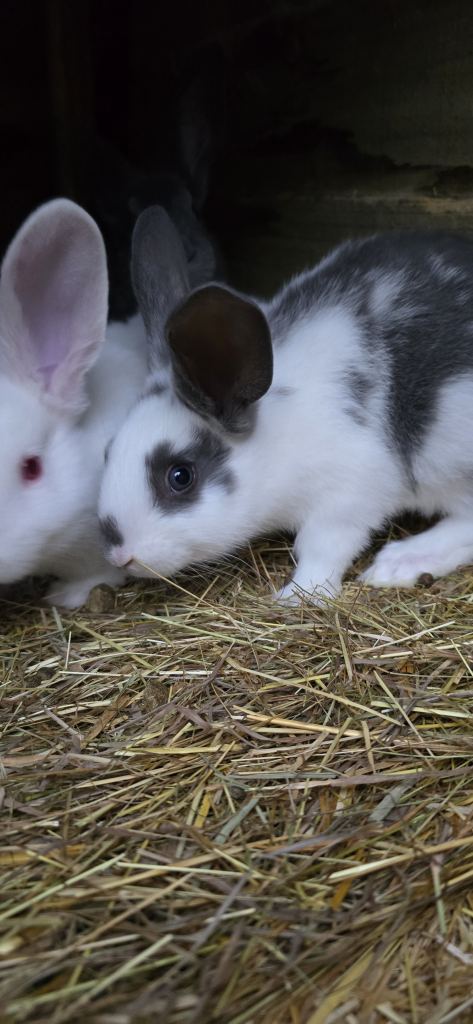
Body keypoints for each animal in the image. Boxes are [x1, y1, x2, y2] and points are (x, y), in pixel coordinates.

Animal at [99, 208, 473, 602]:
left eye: (180, 476)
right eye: (108, 451)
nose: (120, 555)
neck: (276, 432)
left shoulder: (348, 493)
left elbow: (321, 548)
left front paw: (296, 597)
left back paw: (399, 562)